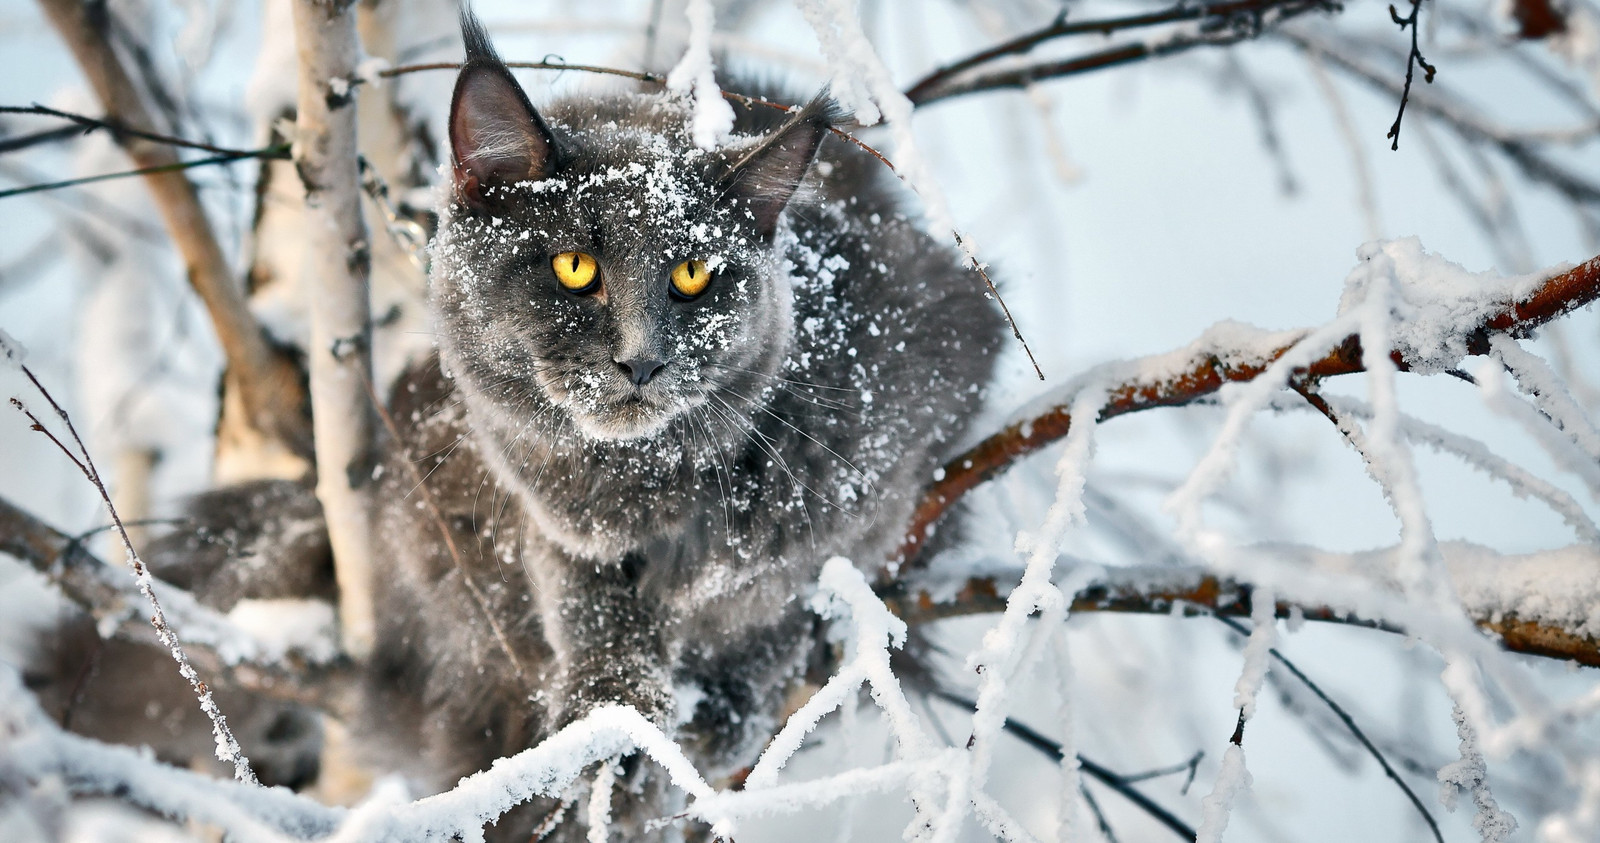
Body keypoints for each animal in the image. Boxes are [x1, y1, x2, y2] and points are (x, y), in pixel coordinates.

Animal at [109, 13, 998, 843]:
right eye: (576, 268)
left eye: (693, 274)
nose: (642, 361)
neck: (643, 482)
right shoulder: (550, 525)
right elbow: (591, 608)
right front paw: (613, 711)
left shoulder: (905, 443)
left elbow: (785, 589)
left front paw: (728, 696)